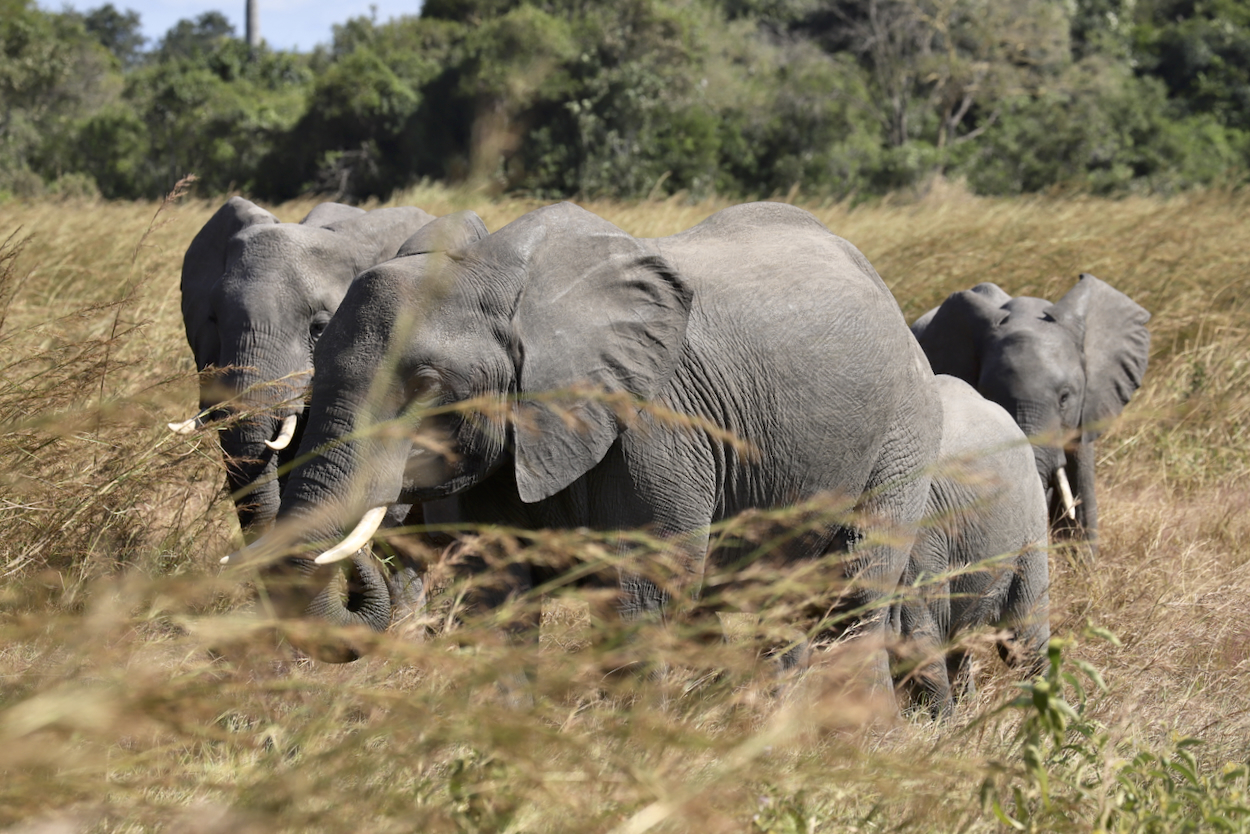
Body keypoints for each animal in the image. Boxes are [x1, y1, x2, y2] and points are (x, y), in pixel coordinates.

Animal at [225, 203, 940, 670]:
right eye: (317, 349)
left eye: (426, 384)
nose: (374, 558)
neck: (500, 279)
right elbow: (497, 597)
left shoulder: (655, 423)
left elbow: (639, 594)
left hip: (905, 429)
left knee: (852, 595)